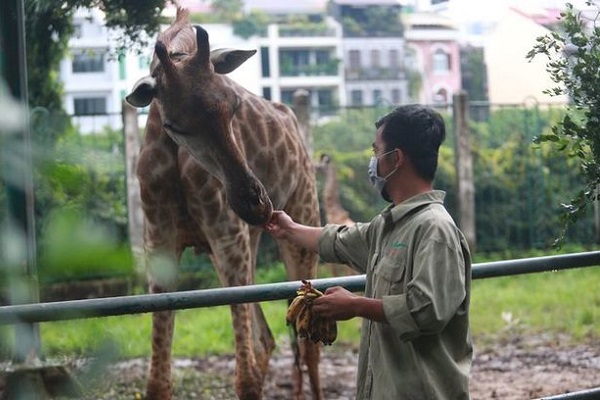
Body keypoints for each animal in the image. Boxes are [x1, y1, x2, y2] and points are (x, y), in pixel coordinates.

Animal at [125, 8, 324, 400]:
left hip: (298, 222)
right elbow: (156, 383)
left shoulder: (228, 238)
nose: (257, 204)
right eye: (175, 125)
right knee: (265, 339)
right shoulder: (160, 243)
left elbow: (244, 378)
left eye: (233, 106)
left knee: (306, 345)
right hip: (236, 248)